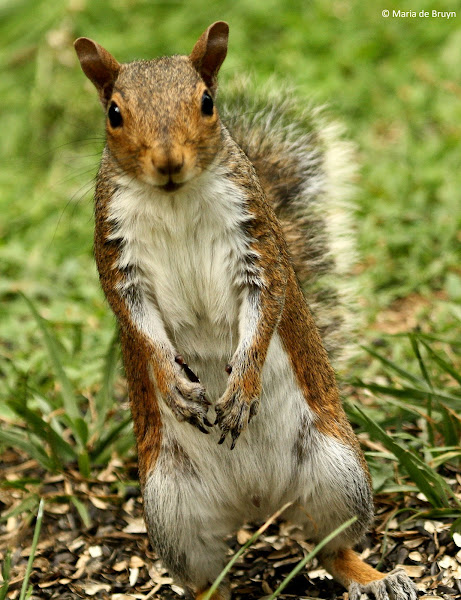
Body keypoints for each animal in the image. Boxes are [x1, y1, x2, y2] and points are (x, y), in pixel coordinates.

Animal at [73, 21, 416, 600]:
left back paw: (376, 579)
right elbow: (138, 325)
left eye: (207, 103)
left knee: (332, 547)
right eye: (114, 113)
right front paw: (174, 383)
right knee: (207, 577)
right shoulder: (118, 260)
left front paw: (241, 389)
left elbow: (264, 309)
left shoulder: (257, 242)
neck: (174, 197)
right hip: (172, 511)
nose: (168, 162)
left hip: (338, 473)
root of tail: (257, 504)